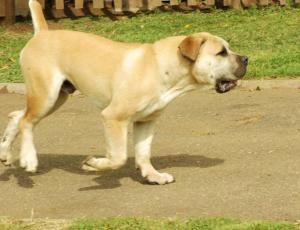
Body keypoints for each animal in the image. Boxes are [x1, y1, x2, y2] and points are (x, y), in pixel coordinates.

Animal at [0, 0, 248, 184]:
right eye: (221, 52)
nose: (246, 58)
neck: (162, 67)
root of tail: (42, 33)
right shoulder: (114, 117)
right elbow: (118, 156)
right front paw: (94, 164)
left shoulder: (146, 121)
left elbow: (143, 151)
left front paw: (152, 175)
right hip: (46, 95)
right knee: (27, 121)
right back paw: (28, 159)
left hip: (56, 96)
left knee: (17, 115)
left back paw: (5, 152)